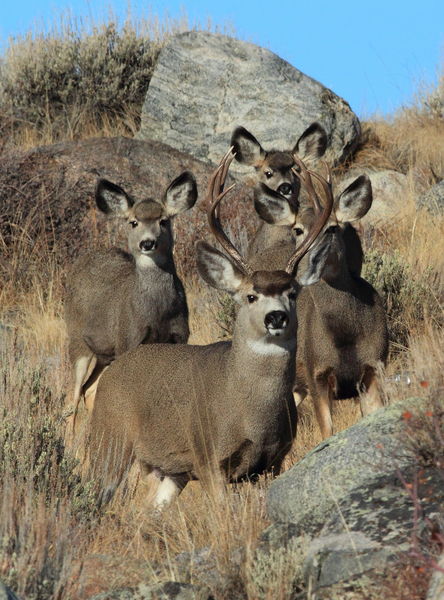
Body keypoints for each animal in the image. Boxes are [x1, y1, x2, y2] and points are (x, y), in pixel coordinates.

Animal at [64, 171, 198, 434]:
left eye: (164, 221)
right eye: (133, 222)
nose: (147, 243)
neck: (157, 313)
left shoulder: (179, 337)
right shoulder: (129, 338)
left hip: (105, 353)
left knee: (89, 390)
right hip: (77, 342)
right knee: (72, 397)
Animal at [87, 149, 332, 506]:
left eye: (293, 292)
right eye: (250, 295)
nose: (276, 317)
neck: (251, 411)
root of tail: (114, 369)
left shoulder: (273, 461)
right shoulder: (208, 458)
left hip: (171, 469)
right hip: (109, 439)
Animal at [243, 159, 388, 438]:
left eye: (332, 228)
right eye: (298, 230)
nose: (306, 264)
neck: (345, 337)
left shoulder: (375, 367)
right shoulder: (315, 373)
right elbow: (327, 432)